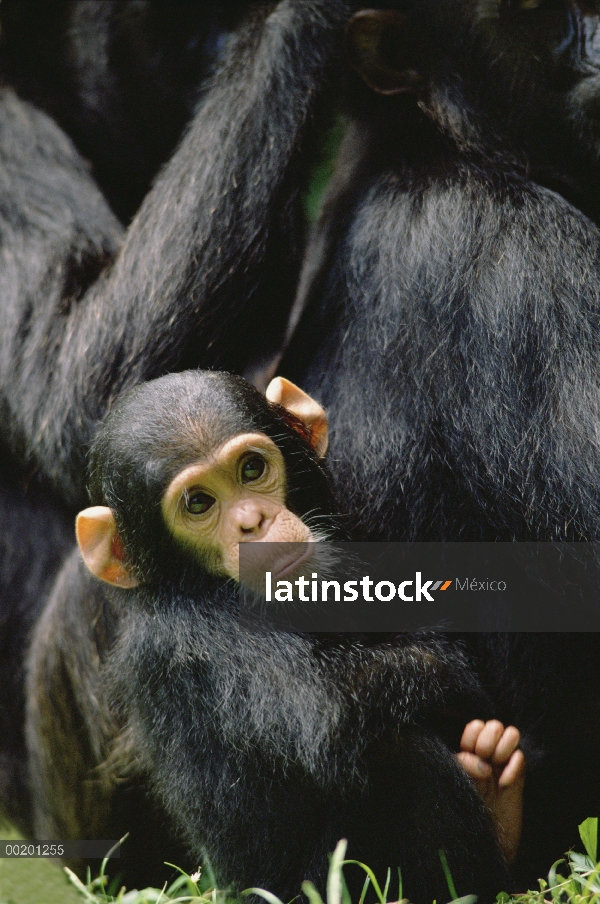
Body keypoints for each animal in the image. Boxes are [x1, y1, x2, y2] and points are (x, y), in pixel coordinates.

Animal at [64, 370, 520, 904]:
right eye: (198, 503)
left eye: (251, 468)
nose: (252, 522)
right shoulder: (208, 632)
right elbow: (329, 709)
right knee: (402, 755)